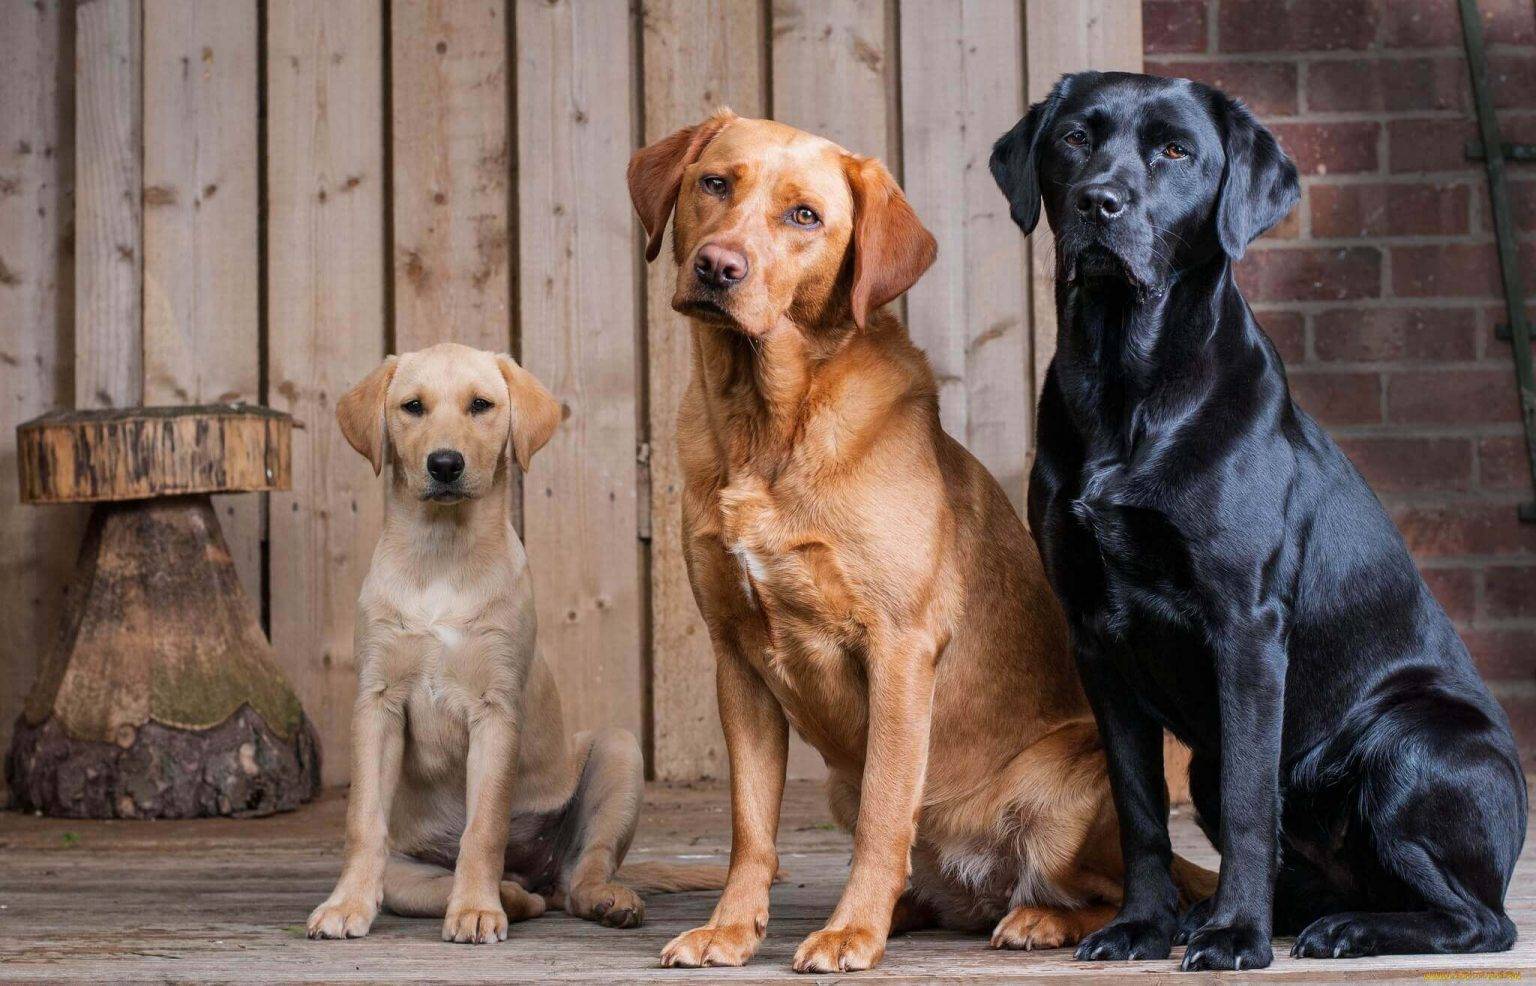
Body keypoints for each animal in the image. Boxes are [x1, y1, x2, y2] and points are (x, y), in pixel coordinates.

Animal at [310, 340, 724, 939]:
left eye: (481, 405)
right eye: (413, 407)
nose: (445, 463)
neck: (442, 555)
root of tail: (538, 876)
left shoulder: (496, 707)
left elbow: (484, 825)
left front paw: (475, 910)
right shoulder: (377, 702)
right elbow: (362, 819)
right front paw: (347, 905)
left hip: (619, 751)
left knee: (584, 871)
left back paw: (600, 898)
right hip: (408, 870)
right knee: (468, 887)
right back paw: (509, 894)